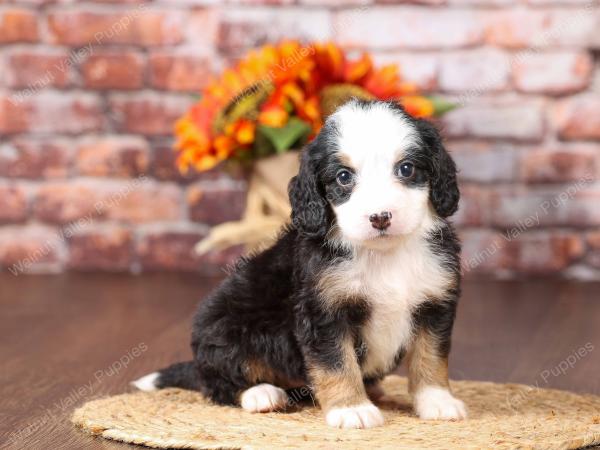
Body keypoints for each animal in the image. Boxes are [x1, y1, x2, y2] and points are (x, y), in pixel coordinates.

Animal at [134, 100, 466, 430]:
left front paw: (437, 400)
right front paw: (351, 408)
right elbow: (337, 362)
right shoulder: (323, 311)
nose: (380, 217)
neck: (384, 255)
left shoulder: (435, 302)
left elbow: (431, 355)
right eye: (343, 177)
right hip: (223, 325)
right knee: (217, 382)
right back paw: (261, 394)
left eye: (406, 169)